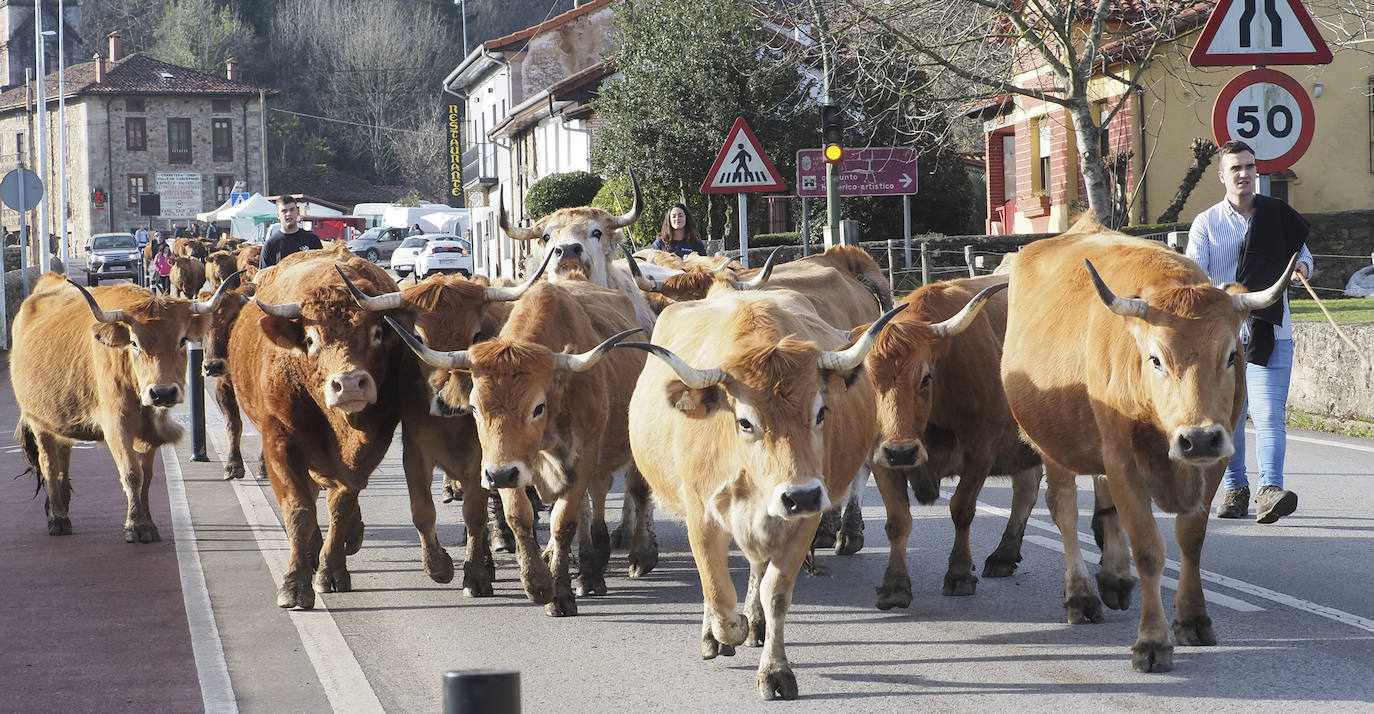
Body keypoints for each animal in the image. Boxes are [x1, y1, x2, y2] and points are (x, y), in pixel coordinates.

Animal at [13, 273, 237, 540]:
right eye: (134, 343)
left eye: (183, 340)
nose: (162, 392)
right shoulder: (116, 425)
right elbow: (131, 473)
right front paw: (136, 525)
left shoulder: (148, 432)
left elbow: (147, 477)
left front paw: (148, 522)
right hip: (39, 422)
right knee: (48, 463)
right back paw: (58, 518)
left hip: (60, 418)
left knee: (62, 459)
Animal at [228, 243, 420, 604]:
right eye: (310, 339)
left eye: (377, 333)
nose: (349, 383)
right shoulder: (279, 442)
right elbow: (298, 510)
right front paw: (294, 583)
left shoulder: (369, 447)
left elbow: (340, 505)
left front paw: (331, 571)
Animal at [387, 277, 643, 612]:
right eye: (475, 408)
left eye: (538, 407)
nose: (498, 476)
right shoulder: (499, 464)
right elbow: (519, 515)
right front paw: (537, 582)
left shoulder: (582, 459)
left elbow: (564, 523)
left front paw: (560, 594)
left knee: (610, 497)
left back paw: (600, 568)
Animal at [857, 273, 1038, 606]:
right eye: (868, 383)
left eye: (925, 378)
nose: (902, 453)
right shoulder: (880, 458)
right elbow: (897, 520)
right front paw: (895, 585)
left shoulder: (982, 449)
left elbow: (961, 509)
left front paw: (960, 573)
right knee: (1026, 490)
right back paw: (1004, 555)